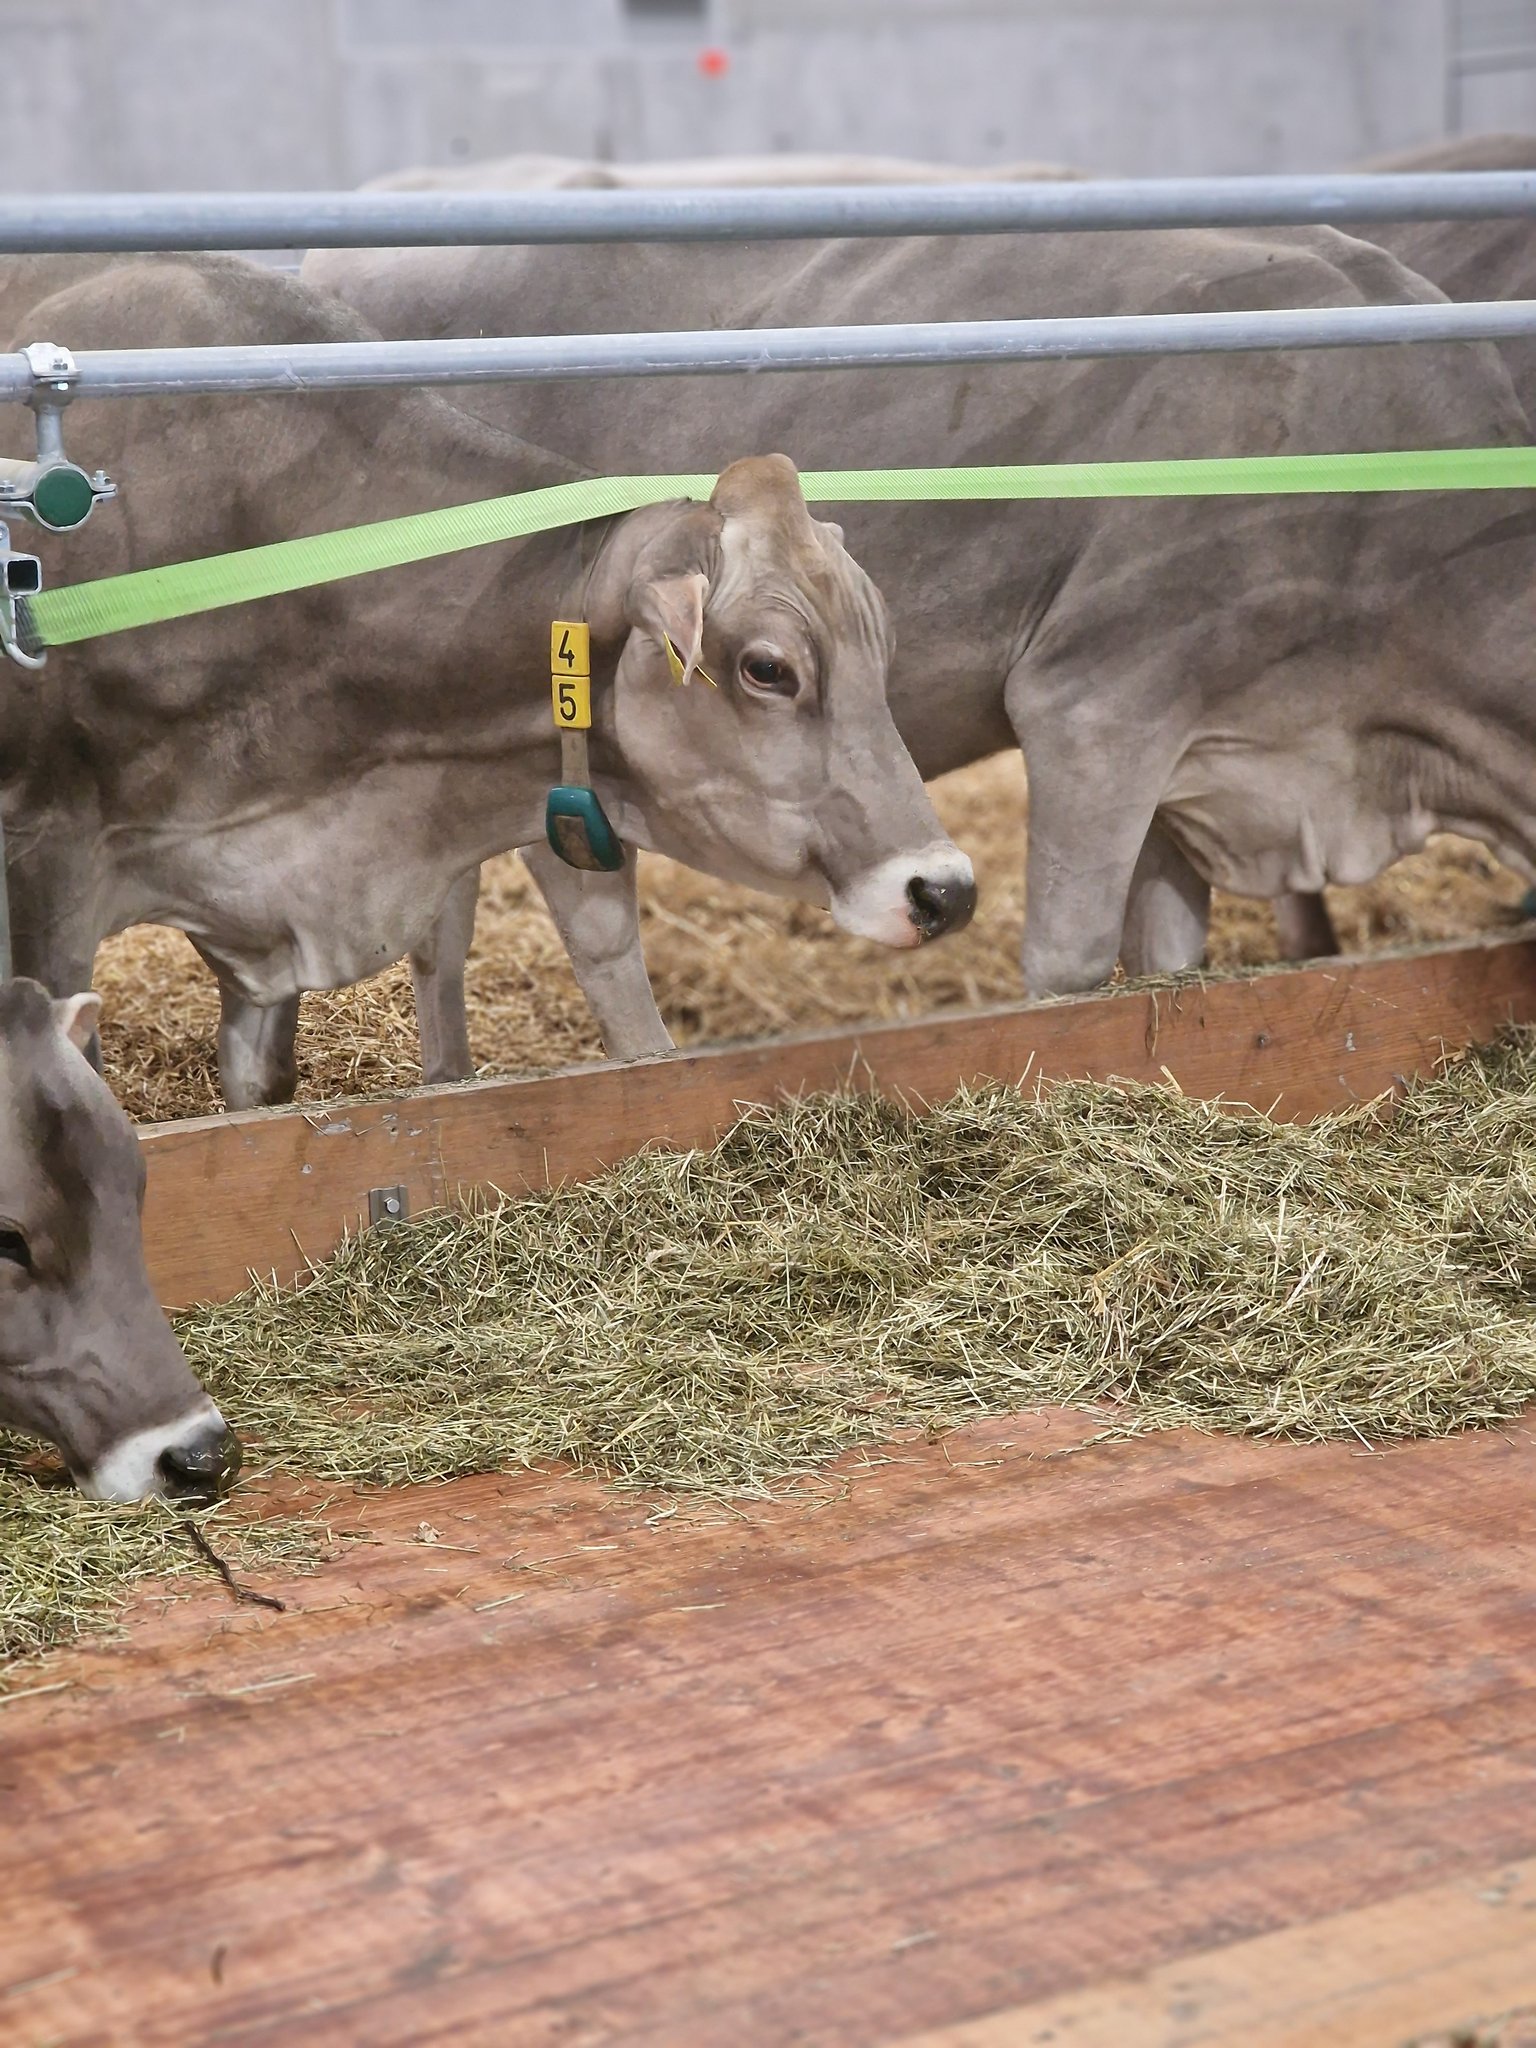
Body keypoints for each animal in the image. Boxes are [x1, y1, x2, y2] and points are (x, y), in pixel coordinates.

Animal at [0, 252, 975, 1109]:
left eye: (878, 649)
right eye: (769, 668)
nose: (946, 891)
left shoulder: (259, 911)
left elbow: (261, 1090)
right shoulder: (50, 866)